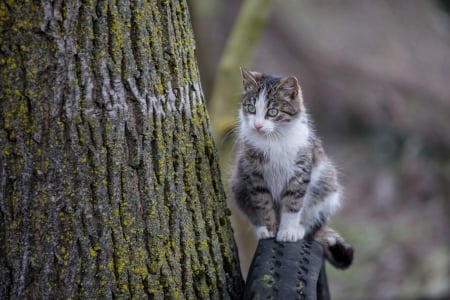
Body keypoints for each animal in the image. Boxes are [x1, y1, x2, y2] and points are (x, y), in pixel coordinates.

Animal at [230, 68, 354, 270]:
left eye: (272, 112)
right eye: (251, 108)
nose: (257, 125)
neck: (273, 140)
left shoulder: (301, 168)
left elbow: (293, 201)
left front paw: (288, 231)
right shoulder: (254, 171)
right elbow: (263, 201)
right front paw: (270, 228)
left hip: (327, 182)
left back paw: (300, 228)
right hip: (238, 182)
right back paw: (261, 229)